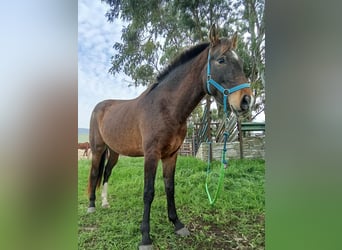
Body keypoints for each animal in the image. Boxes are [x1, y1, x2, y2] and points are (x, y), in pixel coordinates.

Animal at [88, 24, 254, 248]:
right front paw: (145, 237)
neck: (166, 107)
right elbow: (148, 192)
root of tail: (99, 106)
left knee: (106, 173)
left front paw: (177, 224)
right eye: (221, 60)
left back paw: (105, 203)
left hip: (114, 152)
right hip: (97, 149)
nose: (246, 101)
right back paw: (92, 206)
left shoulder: (171, 155)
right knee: (94, 173)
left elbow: (170, 187)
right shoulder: (151, 155)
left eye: (241, 63)